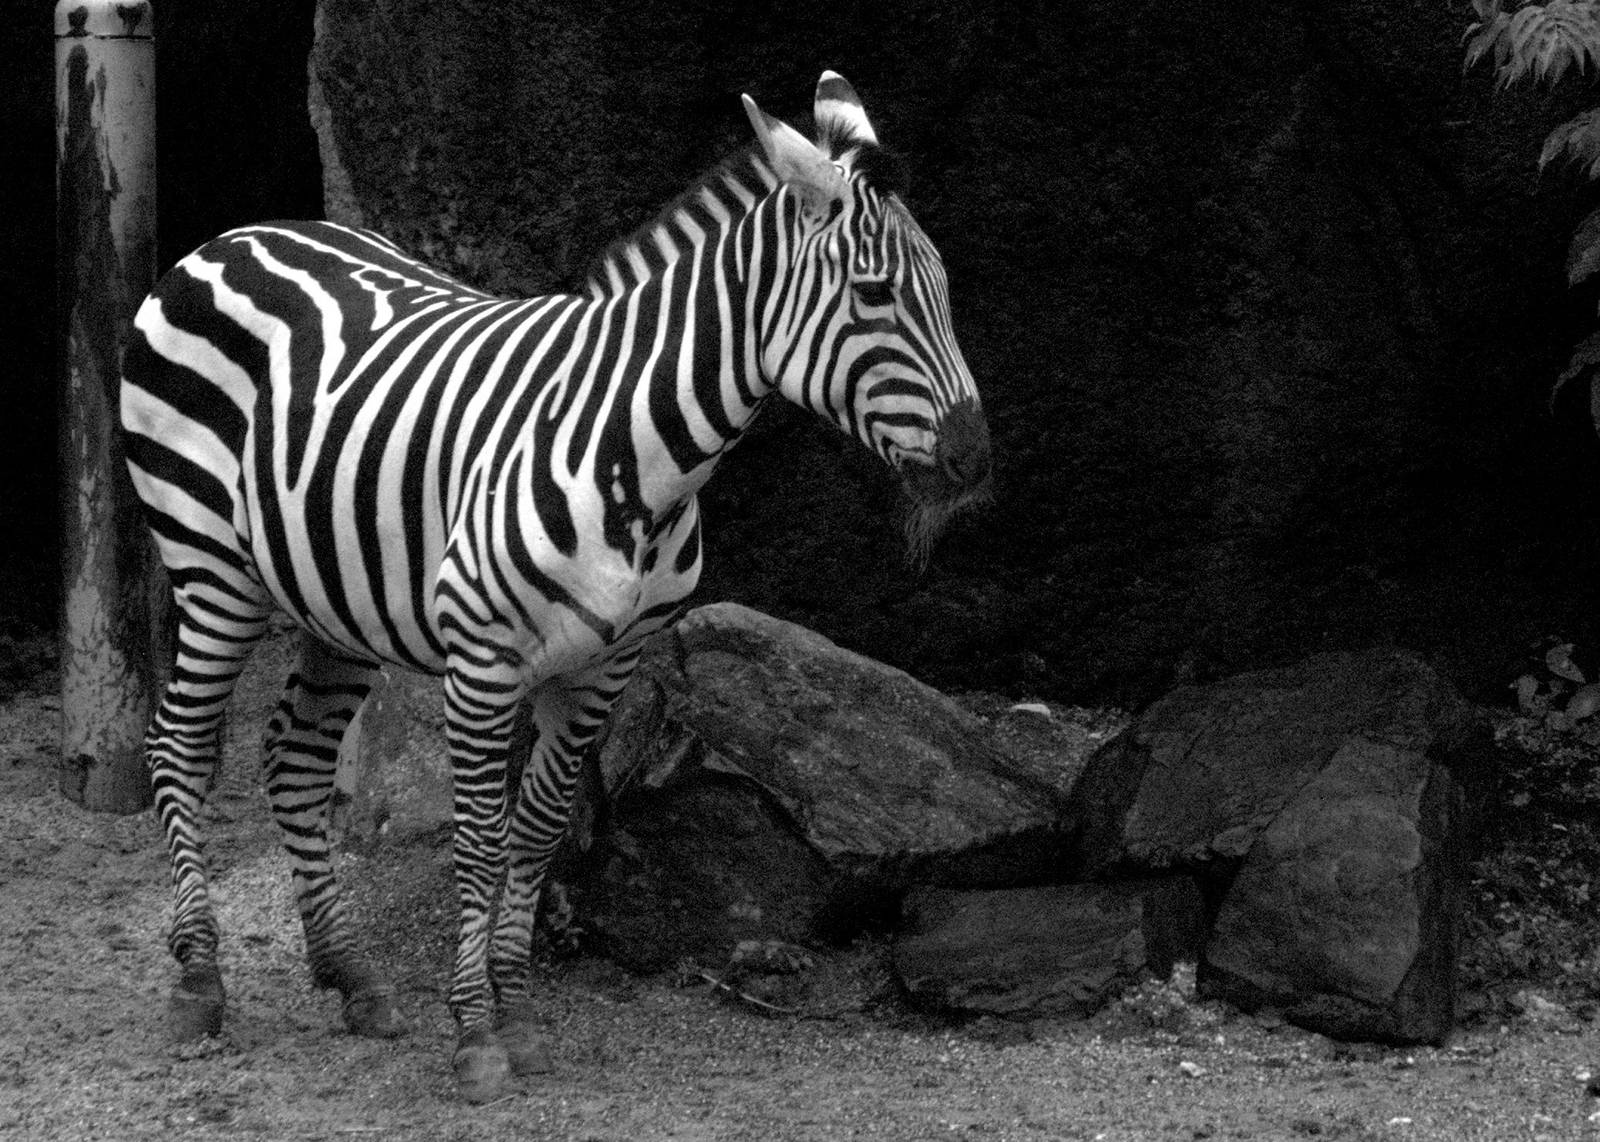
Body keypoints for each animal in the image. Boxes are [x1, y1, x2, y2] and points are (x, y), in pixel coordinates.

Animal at [120, 70, 990, 1102]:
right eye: (875, 293)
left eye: (944, 289)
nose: (976, 459)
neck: (635, 455)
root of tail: (229, 238)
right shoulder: (481, 662)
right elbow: (479, 840)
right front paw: (475, 1035)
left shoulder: (606, 669)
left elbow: (535, 831)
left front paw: (520, 1015)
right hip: (210, 566)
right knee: (178, 746)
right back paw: (198, 982)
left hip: (332, 596)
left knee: (293, 758)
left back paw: (351, 976)